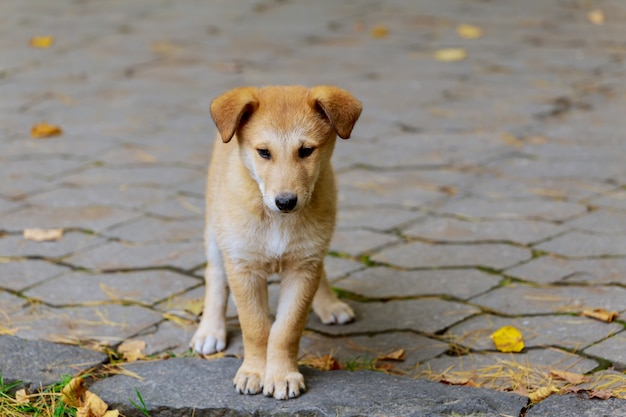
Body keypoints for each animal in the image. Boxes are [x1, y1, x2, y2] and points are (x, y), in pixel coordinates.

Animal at [191, 85, 360, 400]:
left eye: (306, 151)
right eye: (264, 152)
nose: (285, 202)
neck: (276, 221)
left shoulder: (304, 267)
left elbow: (286, 329)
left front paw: (282, 375)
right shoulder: (243, 267)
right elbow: (256, 327)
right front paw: (254, 373)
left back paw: (329, 304)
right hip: (215, 230)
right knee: (215, 275)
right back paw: (210, 330)